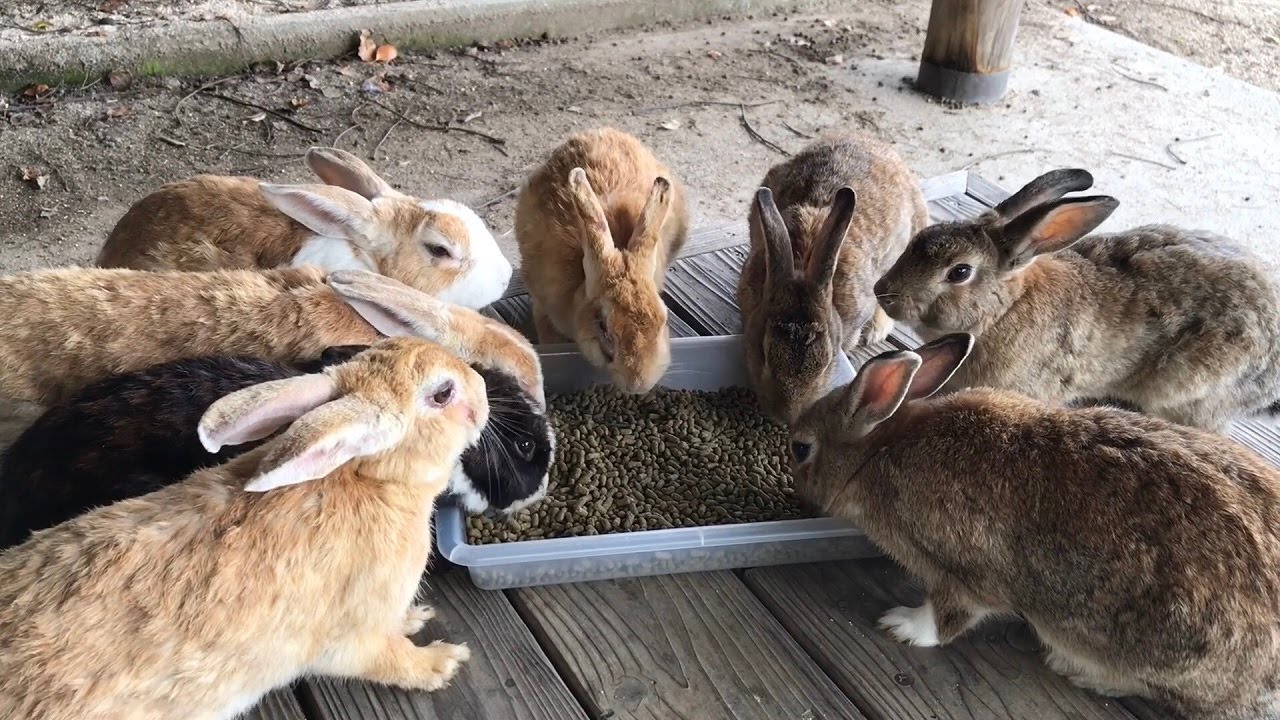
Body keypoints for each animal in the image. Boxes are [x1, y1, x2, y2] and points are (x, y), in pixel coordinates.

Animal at [0, 337, 484, 720]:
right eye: (443, 393)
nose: (481, 387)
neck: (370, 478)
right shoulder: (353, 639)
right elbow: (393, 661)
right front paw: (445, 662)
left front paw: (415, 617)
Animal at [737, 134, 928, 423]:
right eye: (763, 353)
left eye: (828, 361)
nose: (787, 417)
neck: (803, 264)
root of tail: (870, 140)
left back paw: (876, 329)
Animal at [789, 333, 1280, 720]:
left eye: (800, 449)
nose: (798, 490)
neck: (876, 451)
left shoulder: (962, 573)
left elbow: (948, 616)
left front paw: (902, 625)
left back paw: (1081, 671)